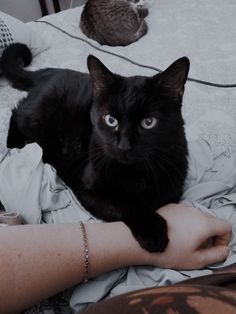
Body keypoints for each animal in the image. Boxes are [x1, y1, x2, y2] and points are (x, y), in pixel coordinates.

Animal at [0, 43, 189, 253]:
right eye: (110, 120)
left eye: (149, 122)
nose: (124, 145)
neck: (135, 173)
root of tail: (53, 72)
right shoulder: (88, 188)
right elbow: (124, 202)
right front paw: (153, 231)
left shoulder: (172, 189)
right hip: (37, 116)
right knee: (16, 112)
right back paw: (15, 147)